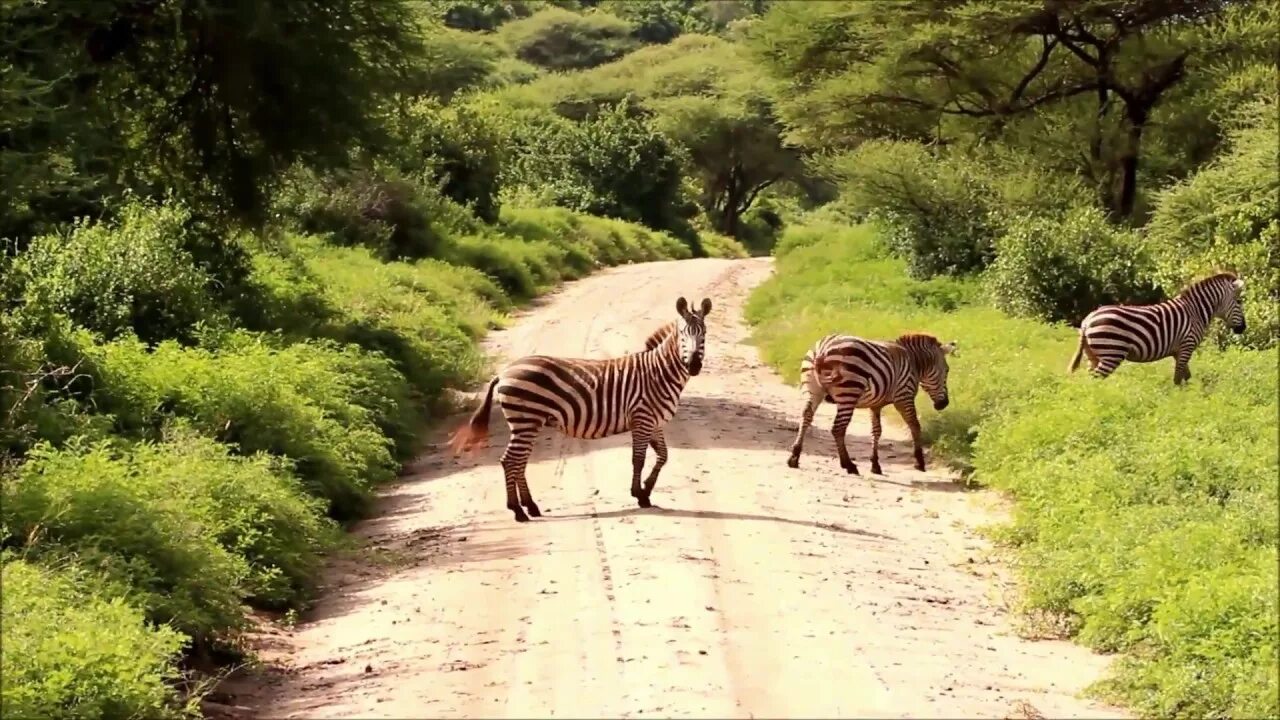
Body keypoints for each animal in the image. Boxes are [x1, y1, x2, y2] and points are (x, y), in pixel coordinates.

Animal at [448, 294, 711, 517]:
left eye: (704, 334)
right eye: (683, 334)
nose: (694, 366)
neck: (659, 373)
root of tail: (504, 372)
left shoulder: (654, 423)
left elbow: (663, 456)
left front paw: (645, 490)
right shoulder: (642, 418)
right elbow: (639, 459)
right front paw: (640, 495)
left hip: (527, 423)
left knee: (518, 461)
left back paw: (530, 506)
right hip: (526, 420)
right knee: (510, 460)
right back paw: (518, 510)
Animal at [783, 330, 957, 476]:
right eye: (947, 370)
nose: (944, 404)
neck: (913, 361)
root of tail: (822, 349)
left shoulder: (875, 404)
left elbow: (876, 431)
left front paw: (875, 465)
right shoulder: (904, 397)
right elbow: (914, 425)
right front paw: (919, 462)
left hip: (813, 390)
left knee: (806, 416)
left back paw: (794, 457)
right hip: (849, 393)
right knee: (838, 429)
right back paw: (848, 465)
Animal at [1064, 270, 1244, 384]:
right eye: (1240, 302)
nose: (1242, 328)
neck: (1195, 312)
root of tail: (1087, 320)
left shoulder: (1179, 351)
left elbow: (1186, 377)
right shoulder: (1187, 346)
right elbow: (1178, 378)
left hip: (1093, 355)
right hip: (1111, 353)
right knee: (1095, 380)